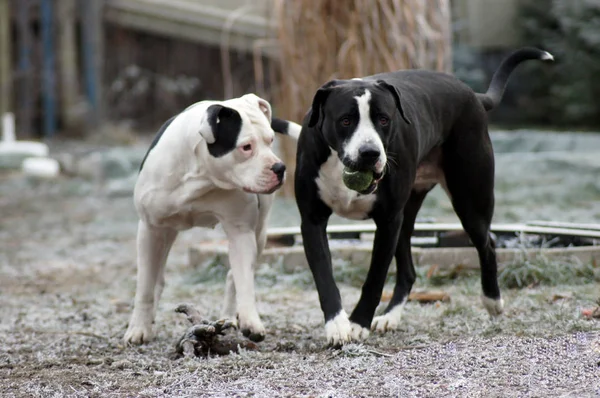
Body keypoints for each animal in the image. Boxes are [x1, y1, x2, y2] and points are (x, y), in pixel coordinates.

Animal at [123, 93, 298, 346]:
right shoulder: (150, 228)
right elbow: (144, 286)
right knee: (157, 278)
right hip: (164, 232)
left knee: (234, 275)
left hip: (260, 232)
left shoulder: (240, 231)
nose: (280, 167)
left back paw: (229, 318)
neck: (201, 175)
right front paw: (138, 328)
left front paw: (251, 321)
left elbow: (244, 280)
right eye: (246, 147)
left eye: (270, 140)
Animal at [272, 46, 552, 346]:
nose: (370, 153)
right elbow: (324, 277)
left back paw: (492, 300)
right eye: (345, 120)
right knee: (408, 271)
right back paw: (390, 316)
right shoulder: (312, 220)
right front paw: (337, 325)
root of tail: (471, 94)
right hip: (407, 216)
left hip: (469, 200)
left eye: (384, 119)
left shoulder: (387, 221)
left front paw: (358, 323)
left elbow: (375, 277)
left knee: (486, 242)